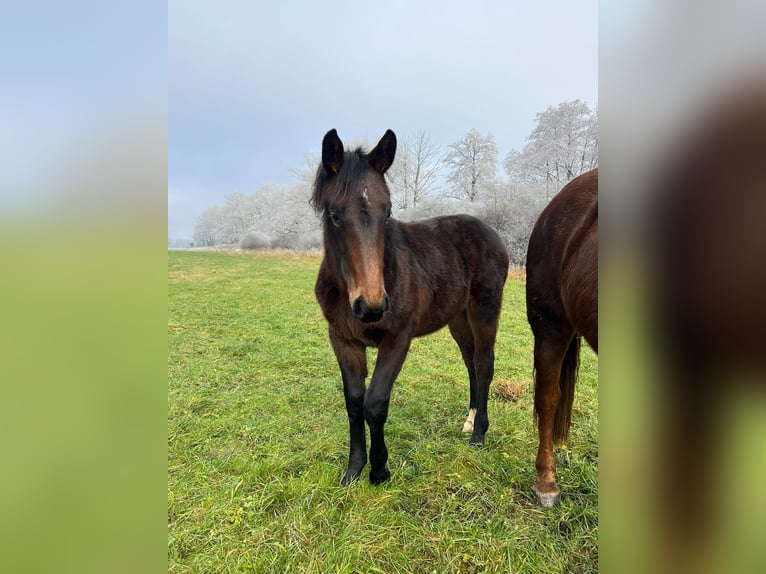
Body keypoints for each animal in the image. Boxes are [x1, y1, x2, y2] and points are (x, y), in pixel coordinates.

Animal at [312, 129, 510, 486]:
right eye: (334, 215)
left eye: (387, 212)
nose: (372, 307)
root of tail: (492, 233)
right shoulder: (343, 340)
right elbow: (354, 401)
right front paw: (354, 470)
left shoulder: (397, 339)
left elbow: (375, 402)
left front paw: (379, 470)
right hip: (458, 318)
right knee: (471, 361)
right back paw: (469, 421)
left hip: (485, 308)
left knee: (484, 363)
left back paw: (479, 435)